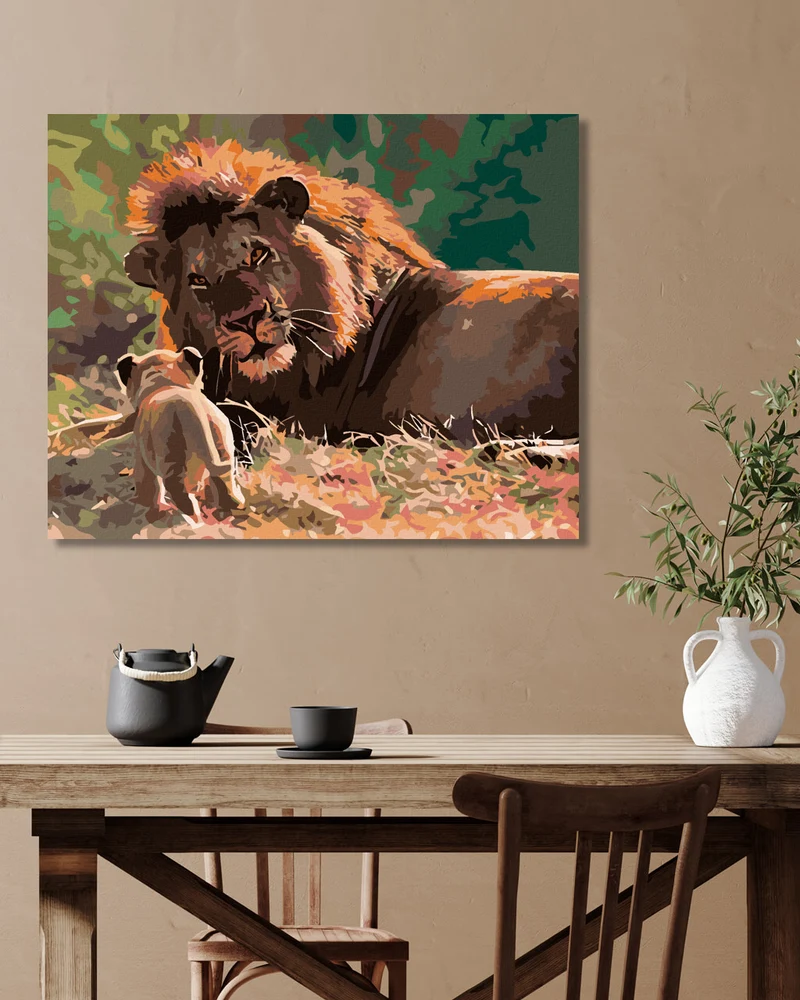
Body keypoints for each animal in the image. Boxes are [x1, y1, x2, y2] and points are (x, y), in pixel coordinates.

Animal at [117, 346, 244, 524]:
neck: (166, 382)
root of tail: (189, 408)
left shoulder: (141, 452)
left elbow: (147, 482)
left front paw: (143, 504)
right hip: (221, 439)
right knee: (224, 475)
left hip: (169, 449)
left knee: (178, 489)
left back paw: (191, 519)